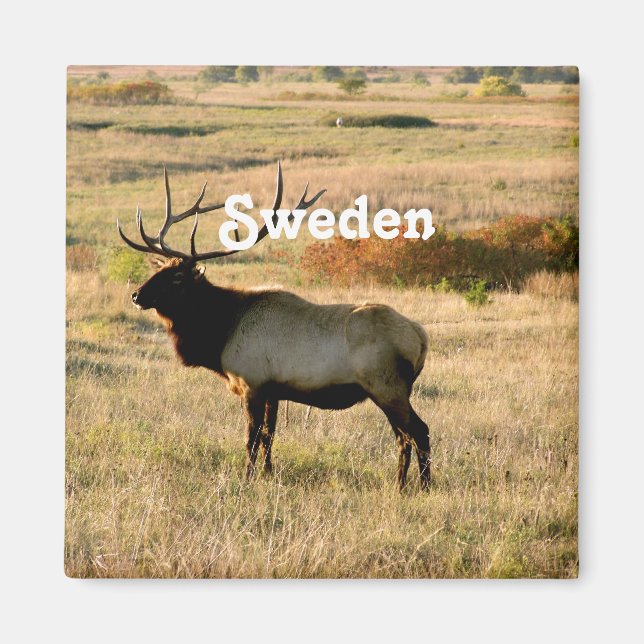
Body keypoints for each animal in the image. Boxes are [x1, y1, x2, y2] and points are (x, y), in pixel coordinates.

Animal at [117, 162, 431, 490]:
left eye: (177, 278)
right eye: (161, 270)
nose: (137, 295)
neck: (221, 330)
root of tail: (421, 337)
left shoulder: (252, 383)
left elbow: (251, 438)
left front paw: (247, 476)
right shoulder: (273, 390)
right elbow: (269, 436)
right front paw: (268, 473)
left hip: (386, 386)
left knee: (417, 432)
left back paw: (415, 486)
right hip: (391, 389)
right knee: (407, 436)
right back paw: (407, 484)